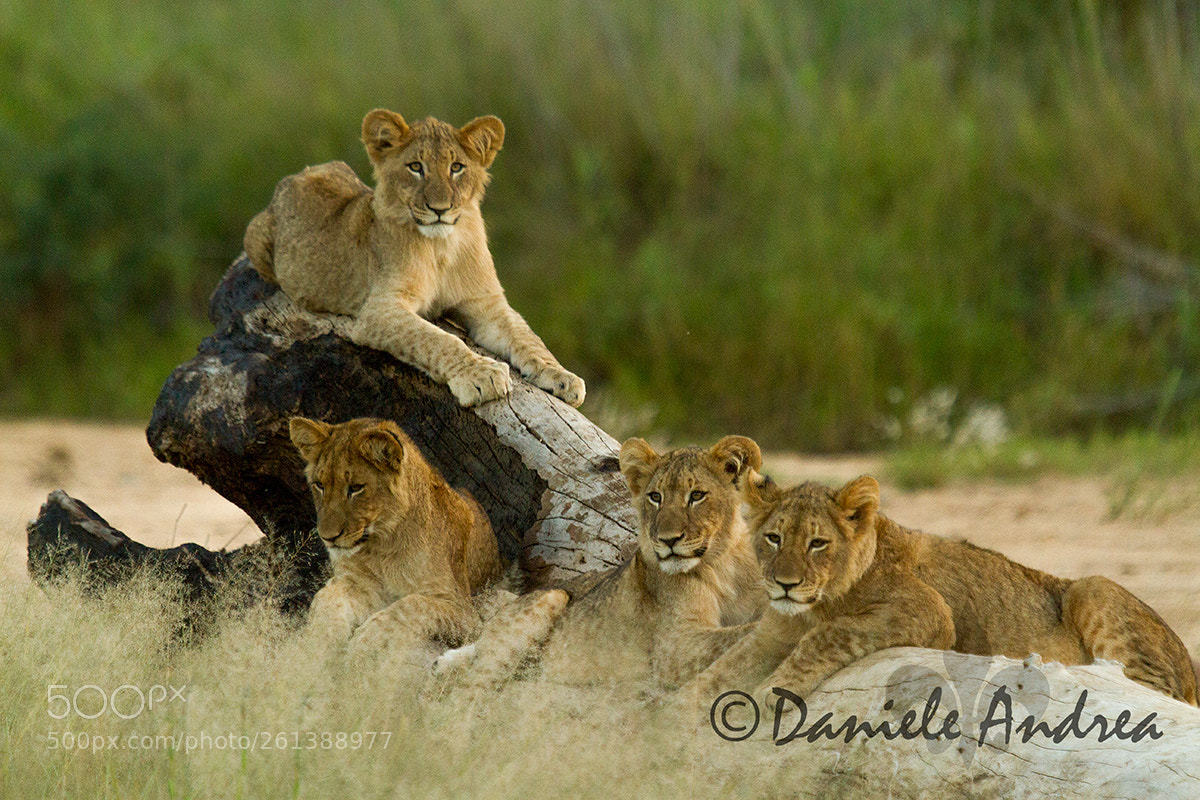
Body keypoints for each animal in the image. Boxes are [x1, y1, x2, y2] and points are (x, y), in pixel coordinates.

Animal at [244, 109, 584, 409]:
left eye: (457, 167)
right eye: (416, 167)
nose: (439, 209)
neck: (441, 246)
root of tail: (296, 175)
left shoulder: (485, 302)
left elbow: (527, 336)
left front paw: (562, 376)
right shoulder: (379, 309)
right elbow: (436, 339)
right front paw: (481, 376)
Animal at [288, 416, 502, 658]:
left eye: (355, 488)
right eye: (319, 485)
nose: (328, 537)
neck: (381, 546)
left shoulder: (465, 612)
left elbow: (411, 604)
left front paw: (365, 642)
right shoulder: (359, 583)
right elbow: (327, 599)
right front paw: (314, 646)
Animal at [433, 436, 768, 694]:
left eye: (697, 495)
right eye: (655, 497)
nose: (667, 540)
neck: (723, 565)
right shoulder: (674, 648)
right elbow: (738, 634)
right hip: (550, 596)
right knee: (474, 687)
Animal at [682, 475, 1199, 707]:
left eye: (817, 543)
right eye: (773, 538)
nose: (784, 584)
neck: (815, 603)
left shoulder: (928, 612)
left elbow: (828, 635)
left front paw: (772, 692)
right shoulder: (770, 634)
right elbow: (718, 672)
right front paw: (672, 723)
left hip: (1093, 588)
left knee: (1147, 689)